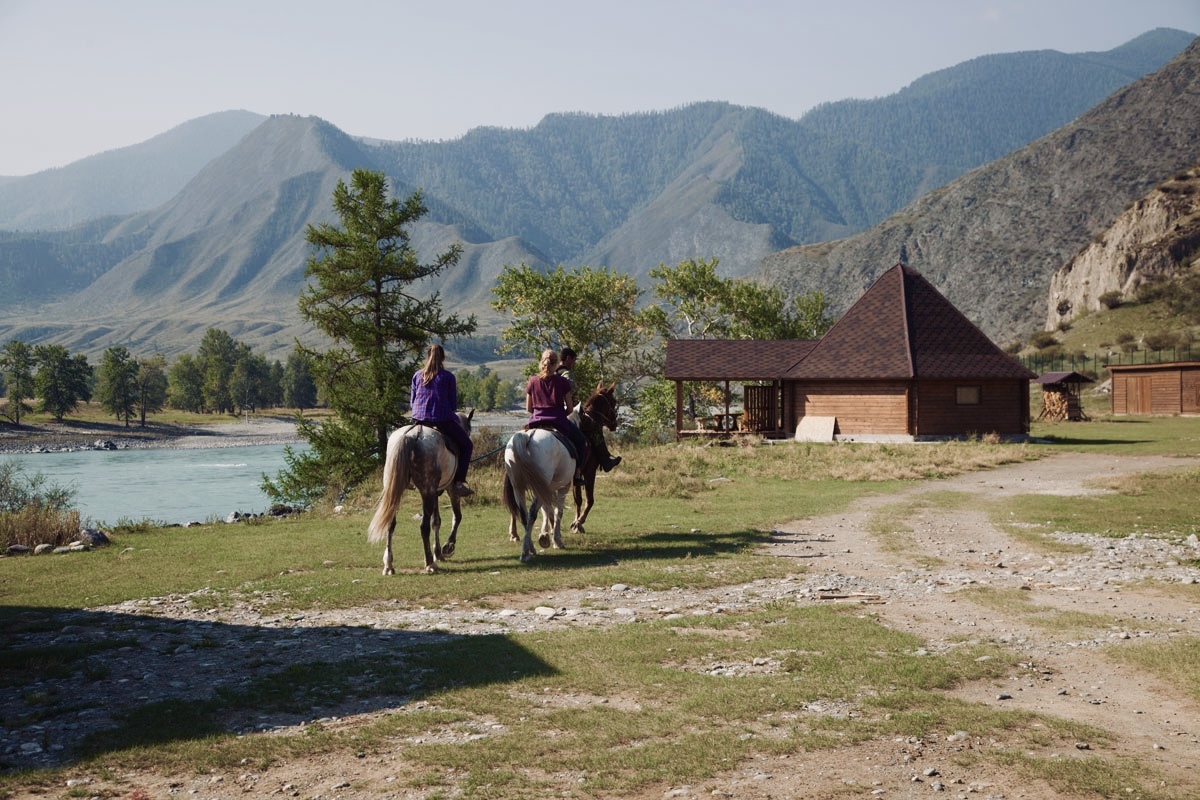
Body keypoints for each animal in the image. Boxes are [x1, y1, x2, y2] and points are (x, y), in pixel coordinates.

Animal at [364, 410, 472, 573]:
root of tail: (409, 436)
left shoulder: (435, 492)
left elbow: (436, 521)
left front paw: (438, 552)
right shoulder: (450, 490)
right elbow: (457, 517)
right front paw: (448, 546)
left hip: (398, 490)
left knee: (391, 524)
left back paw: (389, 565)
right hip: (426, 491)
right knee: (423, 526)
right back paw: (429, 563)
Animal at [501, 424, 576, 563]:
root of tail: (526, 436)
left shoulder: (545, 489)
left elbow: (546, 509)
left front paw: (545, 535)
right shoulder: (563, 487)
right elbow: (557, 512)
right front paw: (556, 540)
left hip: (518, 488)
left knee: (524, 515)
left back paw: (529, 548)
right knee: (532, 514)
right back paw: (526, 552)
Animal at [568, 383, 619, 534]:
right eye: (613, 402)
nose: (614, 424)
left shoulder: (576, 477)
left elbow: (577, 499)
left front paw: (576, 522)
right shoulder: (589, 470)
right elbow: (589, 499)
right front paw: (579, 522)